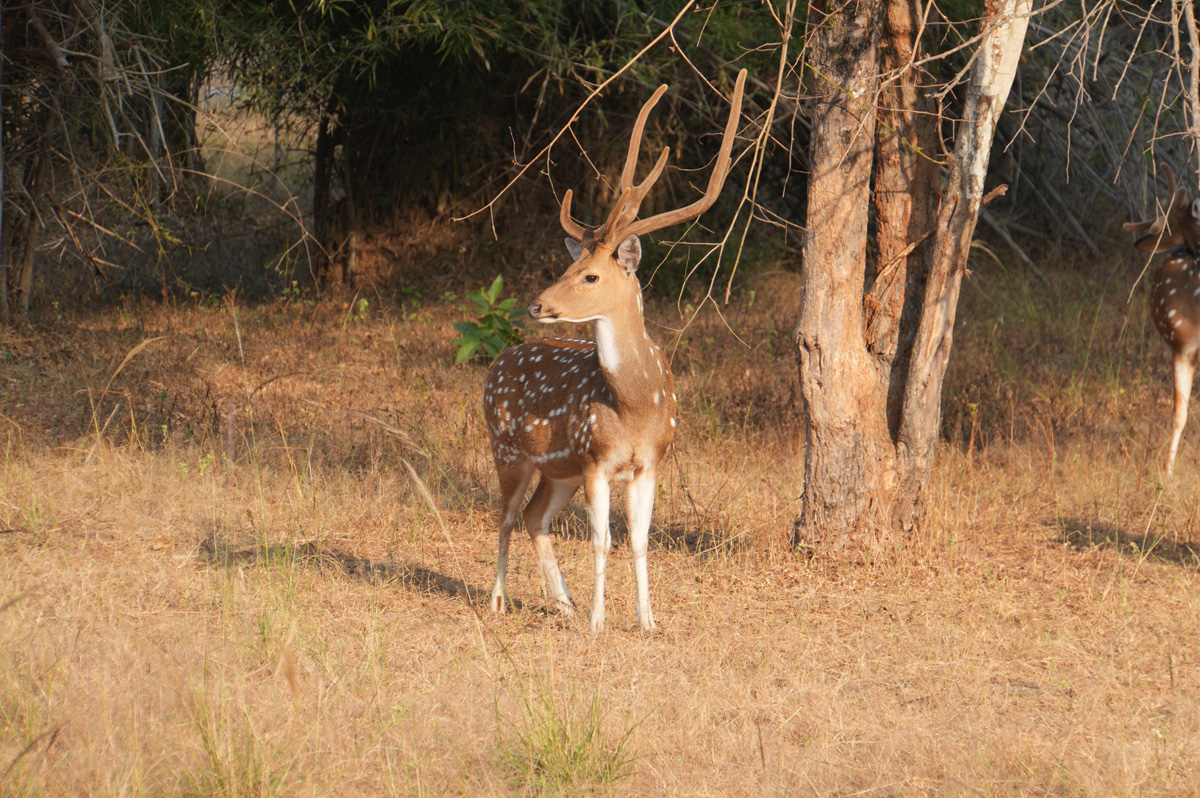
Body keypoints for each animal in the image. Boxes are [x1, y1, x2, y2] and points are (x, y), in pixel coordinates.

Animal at [483, 70, 746, 633]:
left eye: (590, 275)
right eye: (570, 266)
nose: (537, 304)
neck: (635, 406)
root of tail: (495, 364)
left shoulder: (650, 462)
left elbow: (640, 541)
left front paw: (647, 621)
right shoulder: (595, 459)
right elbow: (602, 542)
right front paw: (598, 623)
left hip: (556, 468)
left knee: (534, 518)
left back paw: (562, 602)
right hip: (508, 448)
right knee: (507, 516)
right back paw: (498, 599)